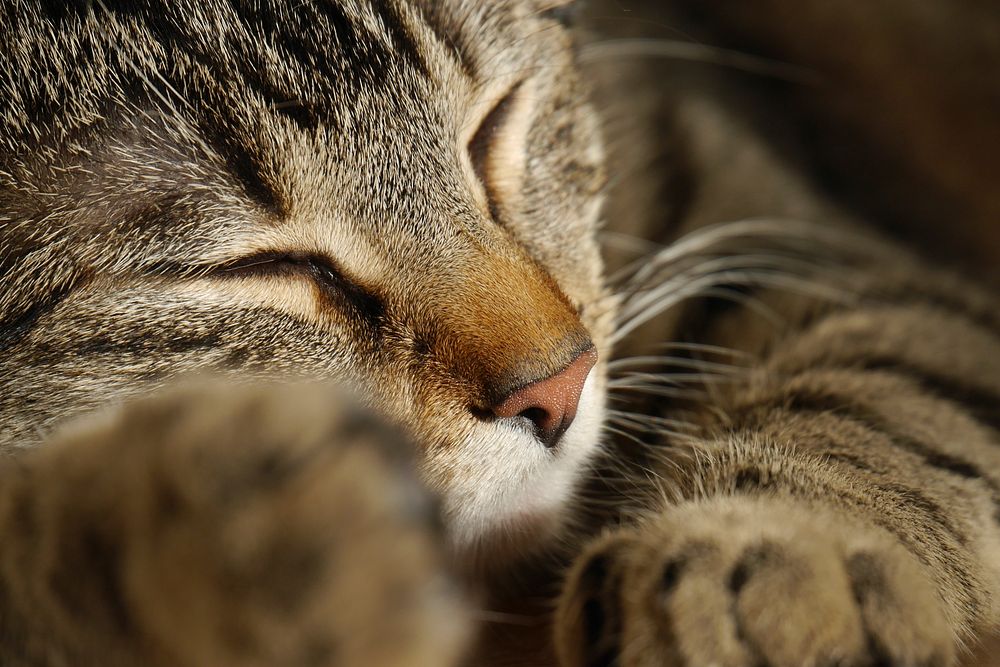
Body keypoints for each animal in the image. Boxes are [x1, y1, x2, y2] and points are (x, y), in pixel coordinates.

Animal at [1, 1, 1000, 667]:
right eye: (255, 267)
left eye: (493, 127)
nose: (559, 387)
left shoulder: (805, 242)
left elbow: (876, 394)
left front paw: (777, 557)